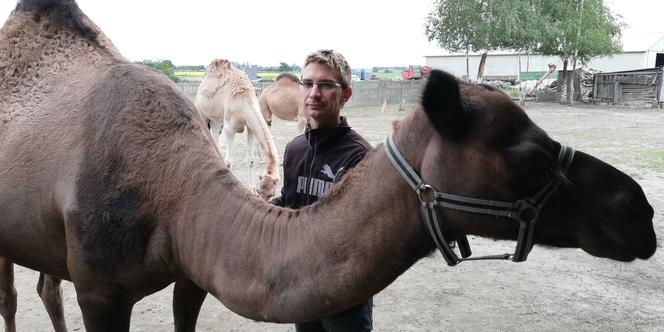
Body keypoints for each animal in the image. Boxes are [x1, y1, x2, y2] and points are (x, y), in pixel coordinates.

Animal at [193, 57, 278, 200]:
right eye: (261, 191)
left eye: (272, 193)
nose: (263, 200)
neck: (244, 101)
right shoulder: (229, 129)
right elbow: (229, 162)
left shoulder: (251, 128)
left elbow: (250, 160)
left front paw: (251, 188)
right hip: (202, 112)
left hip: (216, 120)